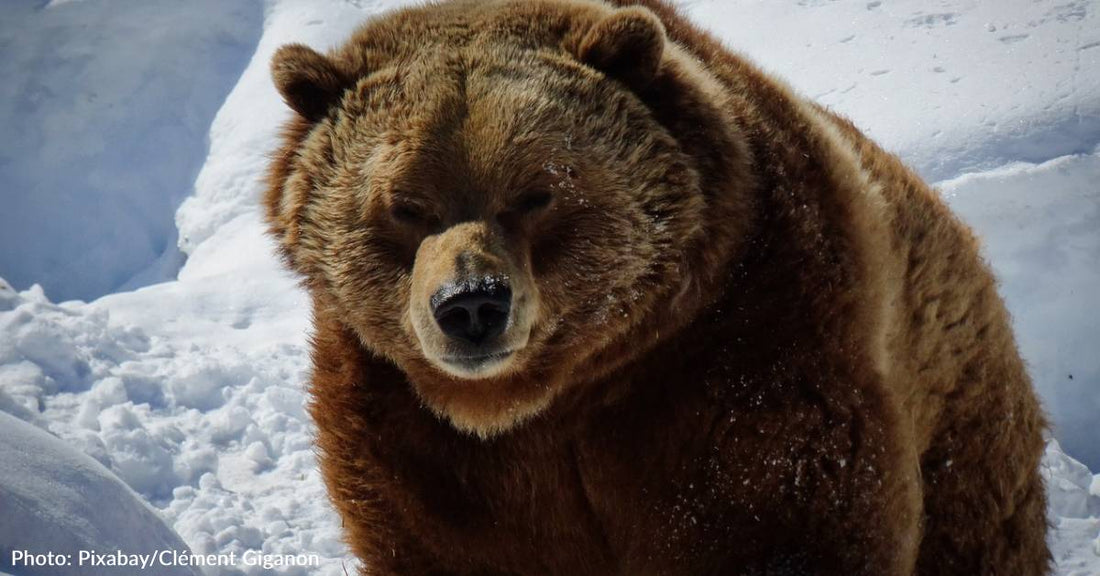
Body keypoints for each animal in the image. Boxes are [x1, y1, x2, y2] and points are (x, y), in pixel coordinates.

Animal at [264, 0, 1047, 571]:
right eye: (405, 204)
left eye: (536, 193)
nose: (472, 303)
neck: (548, 400)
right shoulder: (409, 432)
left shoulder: (743, 350)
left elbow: (788, 517)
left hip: (958, 416)